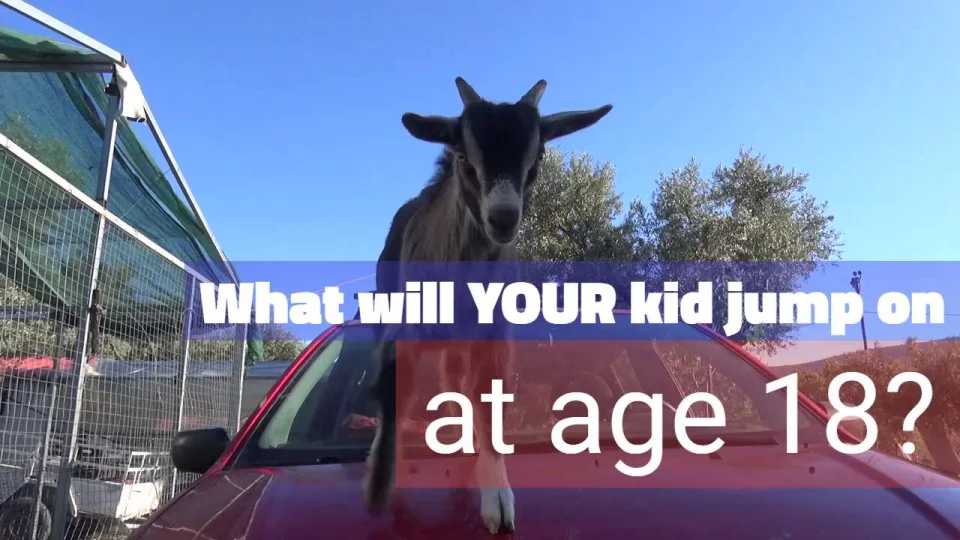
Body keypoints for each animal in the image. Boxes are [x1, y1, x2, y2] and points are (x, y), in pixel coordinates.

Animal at [364, 77, 612, 536]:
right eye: (464, 154)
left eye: (538, 155)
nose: (502, 217)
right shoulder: (405, 330)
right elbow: (392, 389)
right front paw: (379, 483)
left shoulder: (493, 335)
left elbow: (488, 402)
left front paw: (496, 496)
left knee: (452, 377)